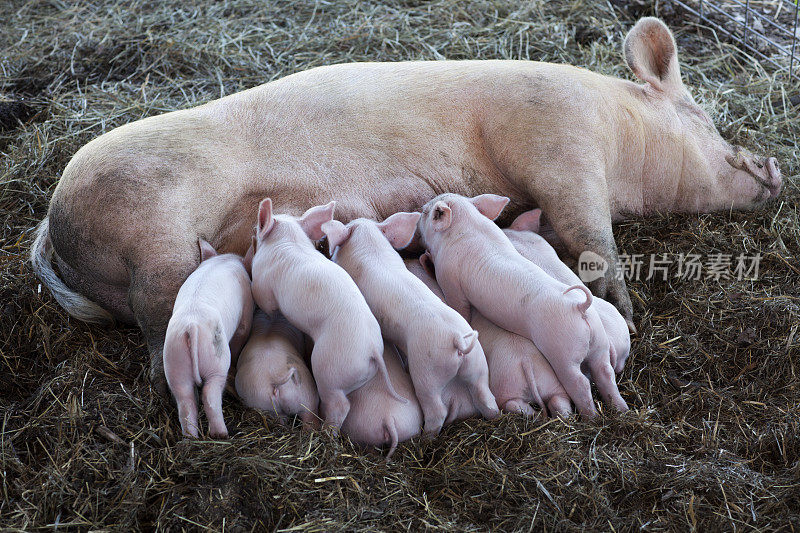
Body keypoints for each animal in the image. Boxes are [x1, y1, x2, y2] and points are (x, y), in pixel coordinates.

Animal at [31, 17, 780, 394]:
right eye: (707, 121)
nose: (775, 167)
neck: (622, 135)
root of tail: (54, 224)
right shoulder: (559, 143)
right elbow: (589, 233)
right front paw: (624, 308)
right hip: (152, 239)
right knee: (160, 335)